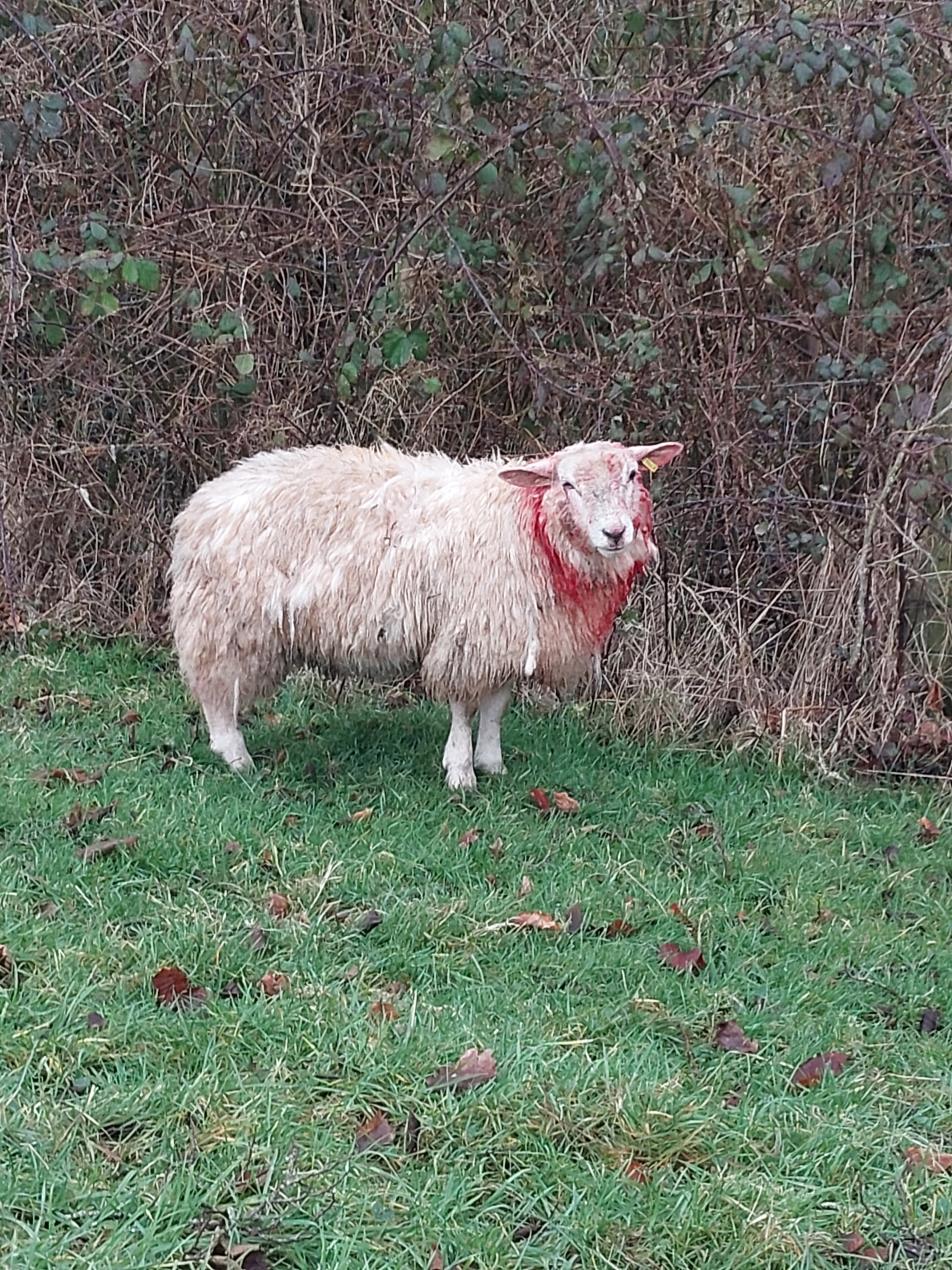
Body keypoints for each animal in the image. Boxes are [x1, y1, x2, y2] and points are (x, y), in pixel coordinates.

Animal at [167, 441, 680, 787]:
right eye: (568, 484)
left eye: (633, 476)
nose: (615, 532)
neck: (530, 528)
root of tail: (202, 501)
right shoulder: (467, 630)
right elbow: (462, 707)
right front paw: (460, 771)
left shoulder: (507, 632)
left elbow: (496, 706)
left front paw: (491, 762)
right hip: (228, 619)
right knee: (217, 692)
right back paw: (236, 758)